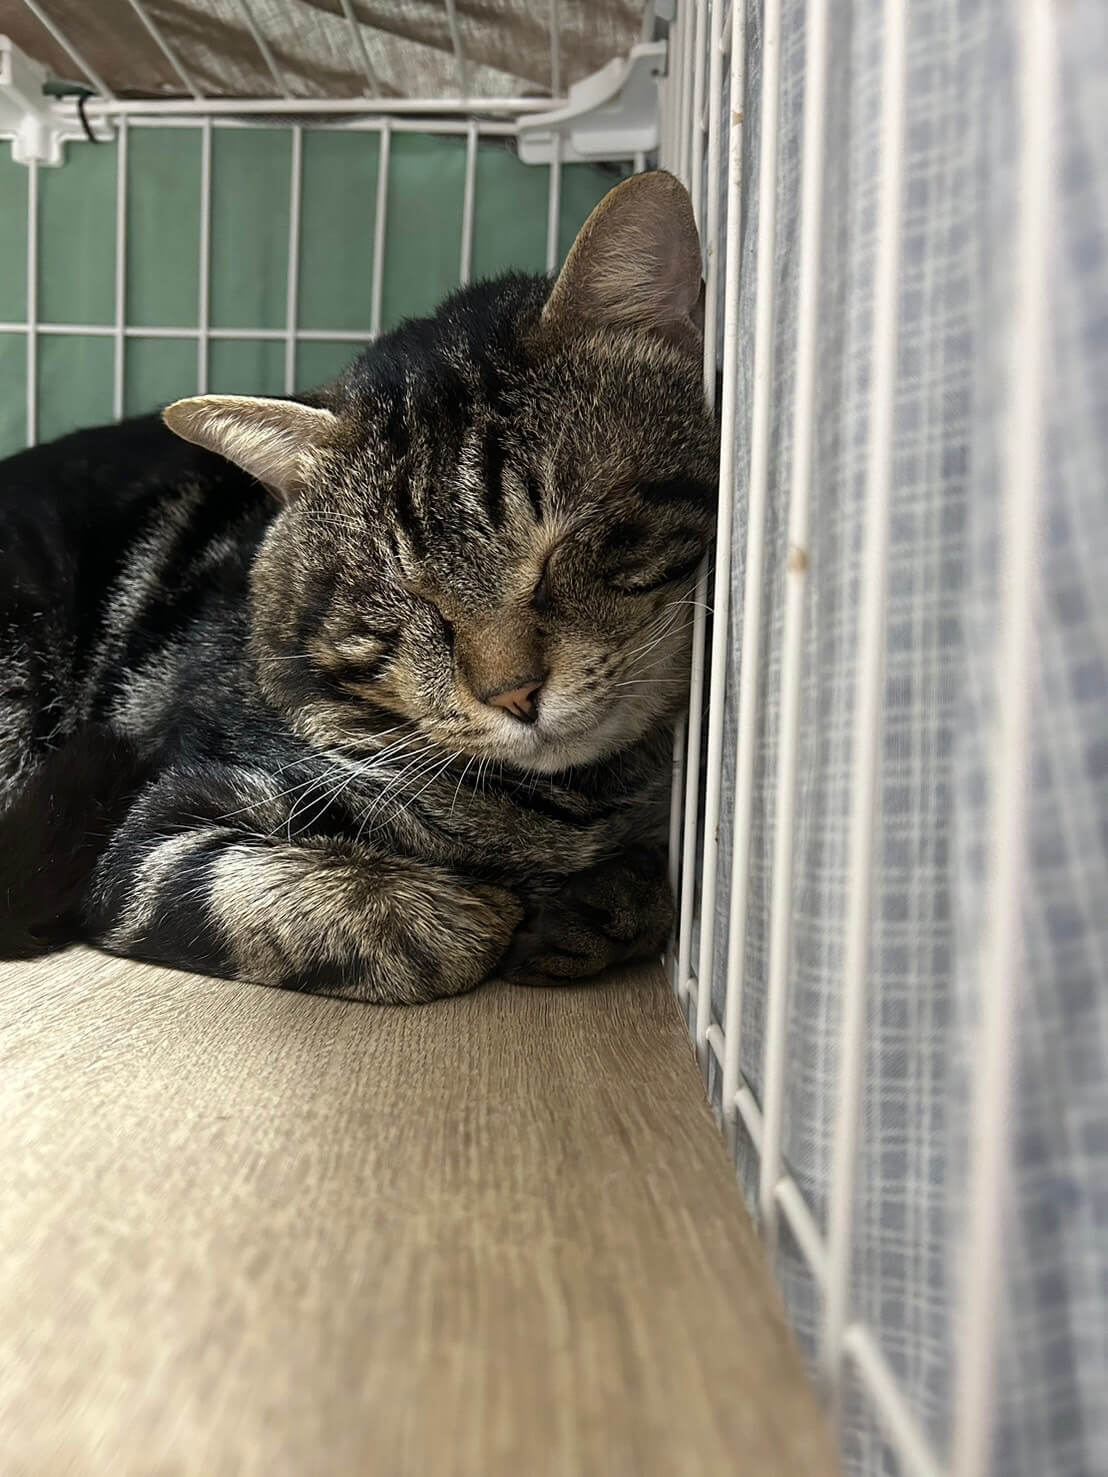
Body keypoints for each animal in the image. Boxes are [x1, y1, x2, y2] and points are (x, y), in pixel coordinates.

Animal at [0, 169, 717, 1003]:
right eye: (408, 596)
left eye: (567, 540)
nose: (515, 694)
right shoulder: (154, 834)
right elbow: (414, 922)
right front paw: (493, 908)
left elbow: (660, 885)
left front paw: (590, 907)